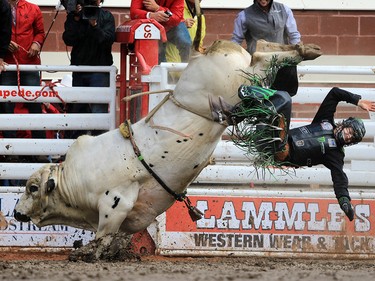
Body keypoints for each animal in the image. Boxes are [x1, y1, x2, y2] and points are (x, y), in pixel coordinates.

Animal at [13, 37, 322, 260]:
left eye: (32, 188)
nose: (15, 213)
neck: (73, 181)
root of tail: (204, 52)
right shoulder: (133, 215)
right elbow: (119, 235)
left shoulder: (115, 202)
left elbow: (104, 233)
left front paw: (89, 252)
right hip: (244, 77)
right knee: (262, 51)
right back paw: (305, 48)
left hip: (237, 83)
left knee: (263, 61)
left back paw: (305, 50)